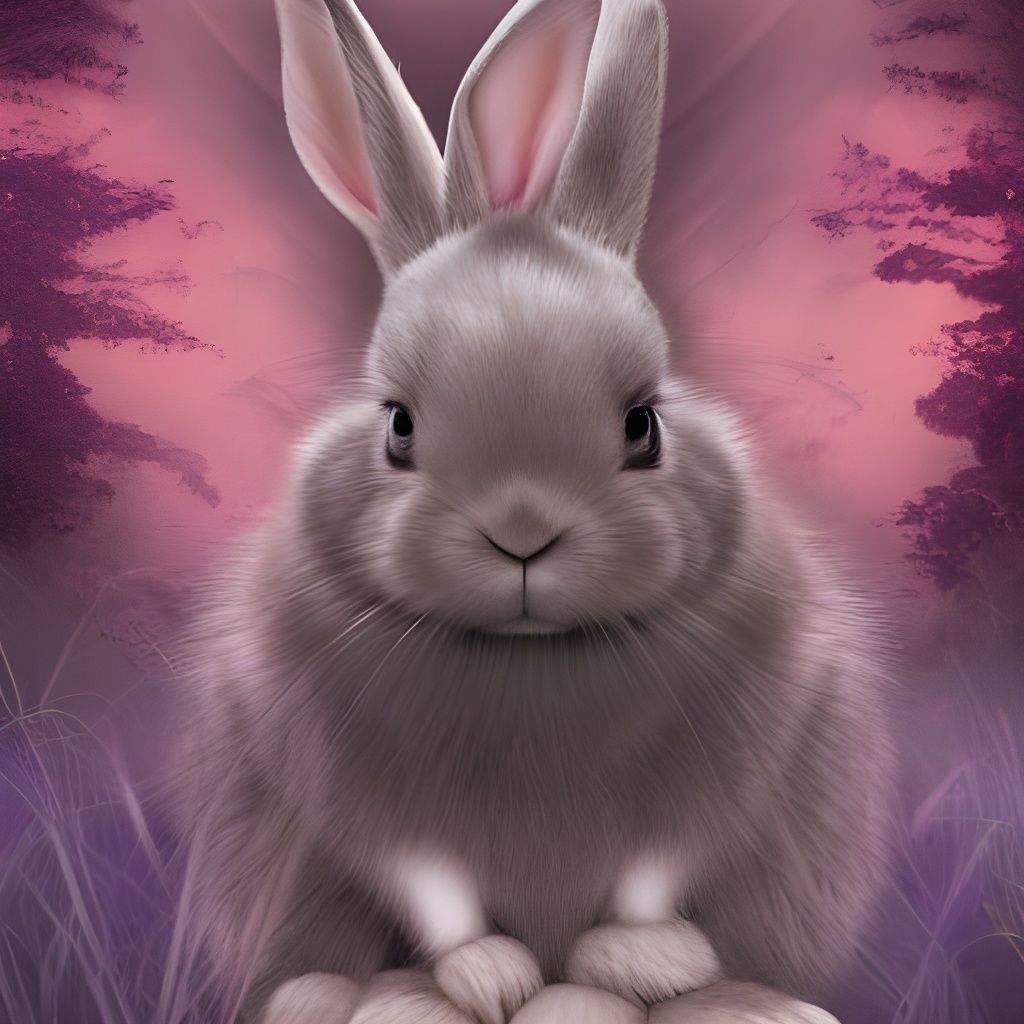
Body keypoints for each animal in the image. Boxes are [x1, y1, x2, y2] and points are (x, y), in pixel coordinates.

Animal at [173, 0, 894, 1022]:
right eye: (398, 427)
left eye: (643, 426)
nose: (522, 533)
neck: (526, 656)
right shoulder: (353, 792)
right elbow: (433, 885)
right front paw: (489, 974)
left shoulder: (723, 771)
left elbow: (651, 874)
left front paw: (646, 961)